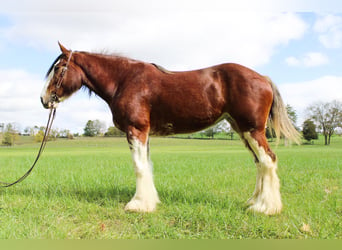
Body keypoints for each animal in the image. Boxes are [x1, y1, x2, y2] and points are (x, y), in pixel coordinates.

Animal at [41, 43, 300, 215]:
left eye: (59, 69)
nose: (44, 100)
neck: (125, 80)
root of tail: (263, 78)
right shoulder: (145, 134)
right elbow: (146, 166)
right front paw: (149, 202)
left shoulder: (136, 130)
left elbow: (139, 167)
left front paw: (138, 205)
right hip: (242, 130)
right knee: (259, 163)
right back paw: (254, 202)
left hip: (252, 130)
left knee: (267, 160)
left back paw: (265, 208)